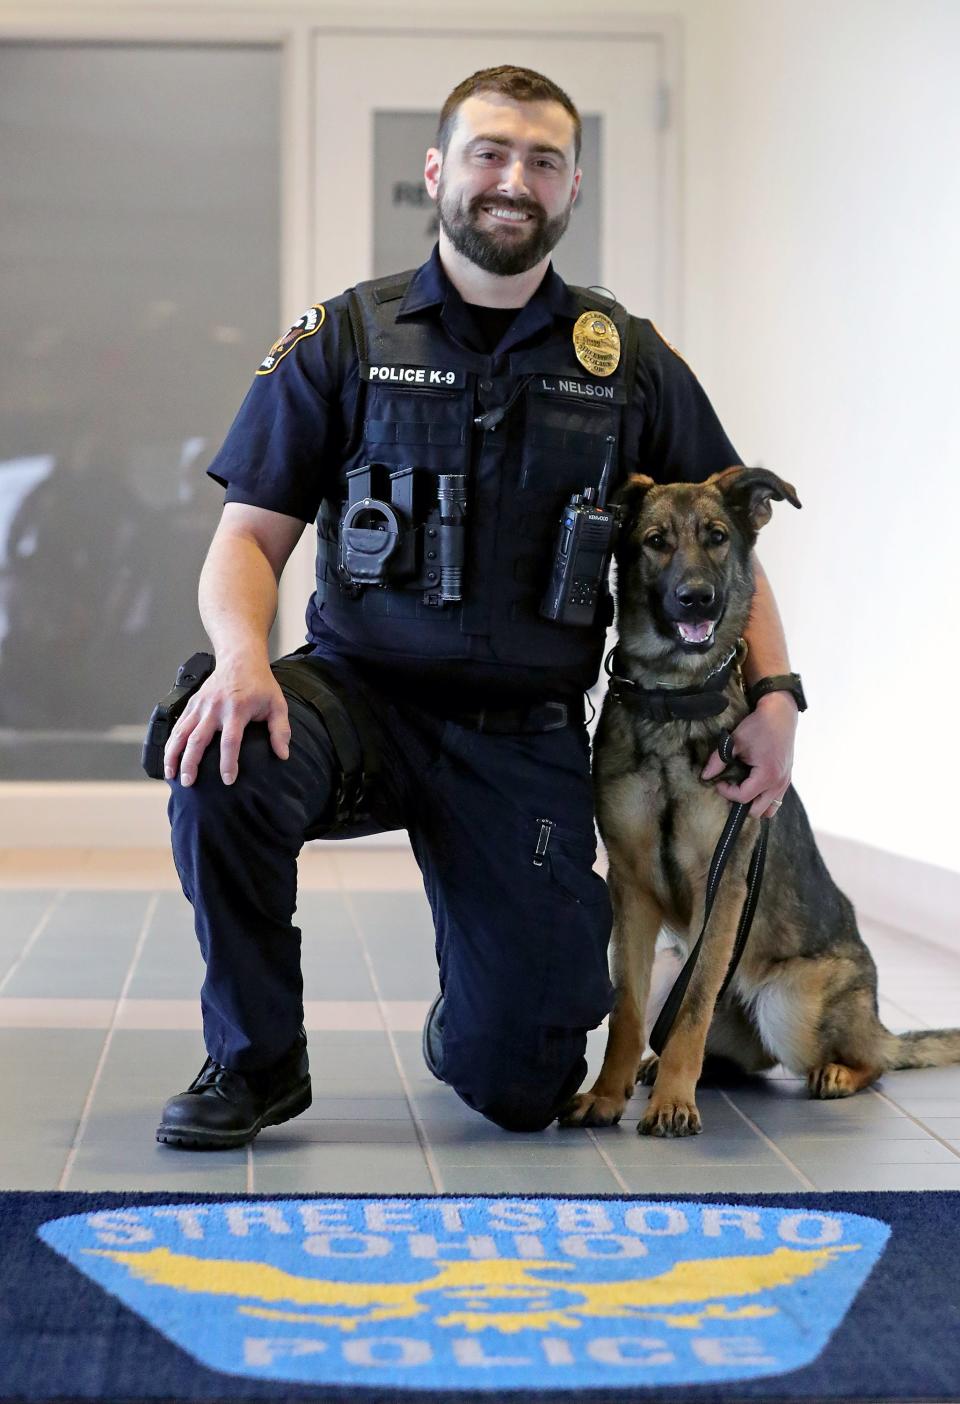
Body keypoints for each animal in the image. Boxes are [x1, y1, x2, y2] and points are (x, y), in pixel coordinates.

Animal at [561, 466, 960, 1134]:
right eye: (655, 541)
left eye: (717, 537)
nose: (696, 598)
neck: (675, 701)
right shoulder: (631, 890)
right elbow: (627, 1009)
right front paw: (608, 1093)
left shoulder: (721, 888)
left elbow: (694, 1006)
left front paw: (672, 1103)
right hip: (674, 962)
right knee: (710, 1047)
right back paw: (657, 1066)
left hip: (791, 1005)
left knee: (871, 1060)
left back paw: (835, 1072)